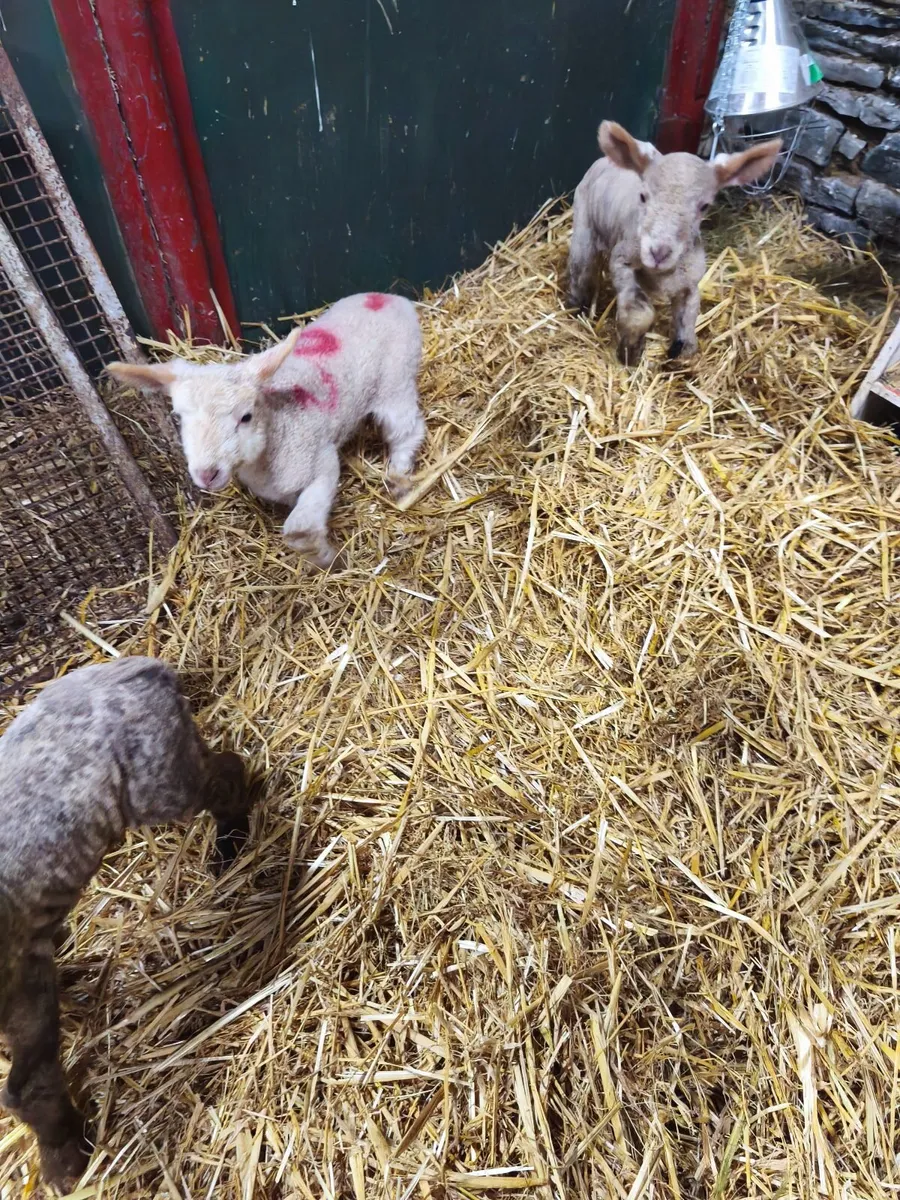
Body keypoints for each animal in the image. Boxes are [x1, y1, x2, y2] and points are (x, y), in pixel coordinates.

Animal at [0, 657, 254, 1192]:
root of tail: (147, 667)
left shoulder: (22, 988)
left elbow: (28, 1089)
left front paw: (65, 1168)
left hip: (162, 784)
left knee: (226, 771)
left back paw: (231, 843)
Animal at [107, 293, 425, 568]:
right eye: (178, 416)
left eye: (246, 417)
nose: (207, 474)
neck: (279, 426)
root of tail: (388, 297)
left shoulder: (321, 464)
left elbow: (299, 529)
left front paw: (327, 559)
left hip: (395, 383)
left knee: (408, 429)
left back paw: (399, 477)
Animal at [567, 121, 782, 365]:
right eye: (643, 196)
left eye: (704, 206)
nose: (658, 253)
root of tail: (604, 159)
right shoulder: (622, 259)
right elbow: (639, 313)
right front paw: (629, 351)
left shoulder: (691, 282)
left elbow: (689, 317)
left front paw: (681, 353)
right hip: (583, 228)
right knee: (581, 269)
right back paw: (575, 306)